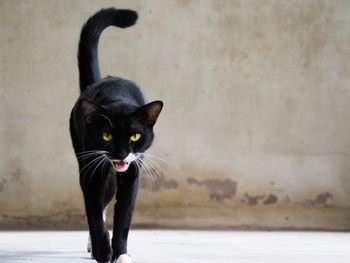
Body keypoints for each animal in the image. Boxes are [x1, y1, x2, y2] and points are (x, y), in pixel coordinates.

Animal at [69, 8, 163, 263]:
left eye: (135, 136)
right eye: (106, 135)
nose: (121, 153)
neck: (118, 97)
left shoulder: (132, 173)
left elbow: (123, 217)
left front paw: (120, 254)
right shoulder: (92, 171)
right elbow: (93, 212)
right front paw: (103, 252)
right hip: (84, 155)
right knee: (98, 204)